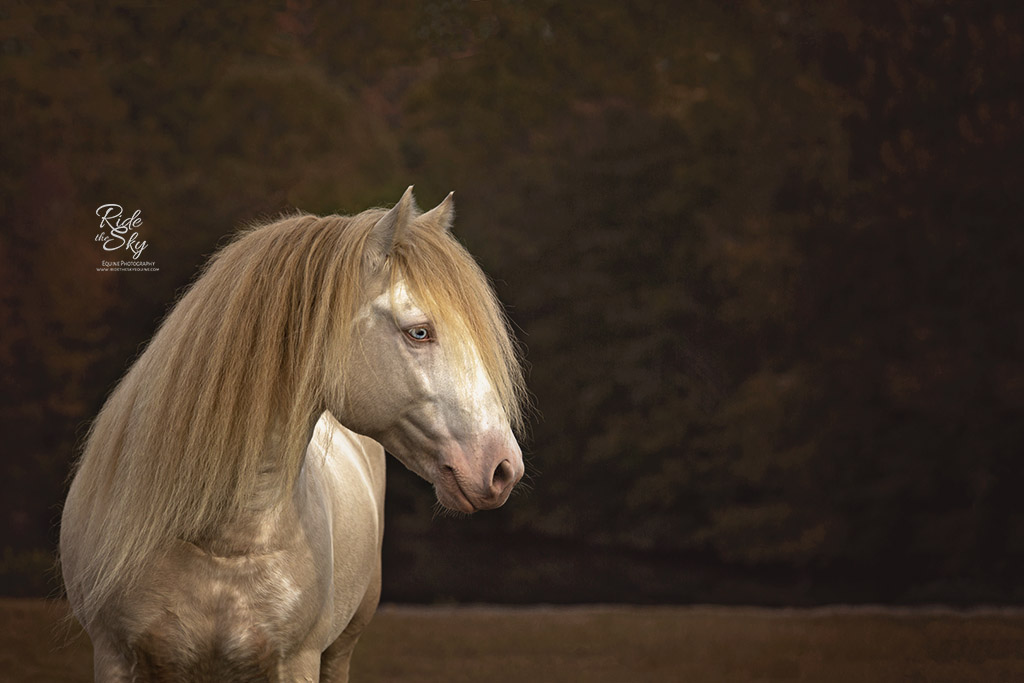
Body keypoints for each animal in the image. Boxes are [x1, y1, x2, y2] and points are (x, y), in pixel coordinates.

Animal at [60, 188, 528, 683]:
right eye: (419, 331)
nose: (504, 467)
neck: (218, 540)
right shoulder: (113, 656)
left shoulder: (297, 661)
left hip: (341, 646)